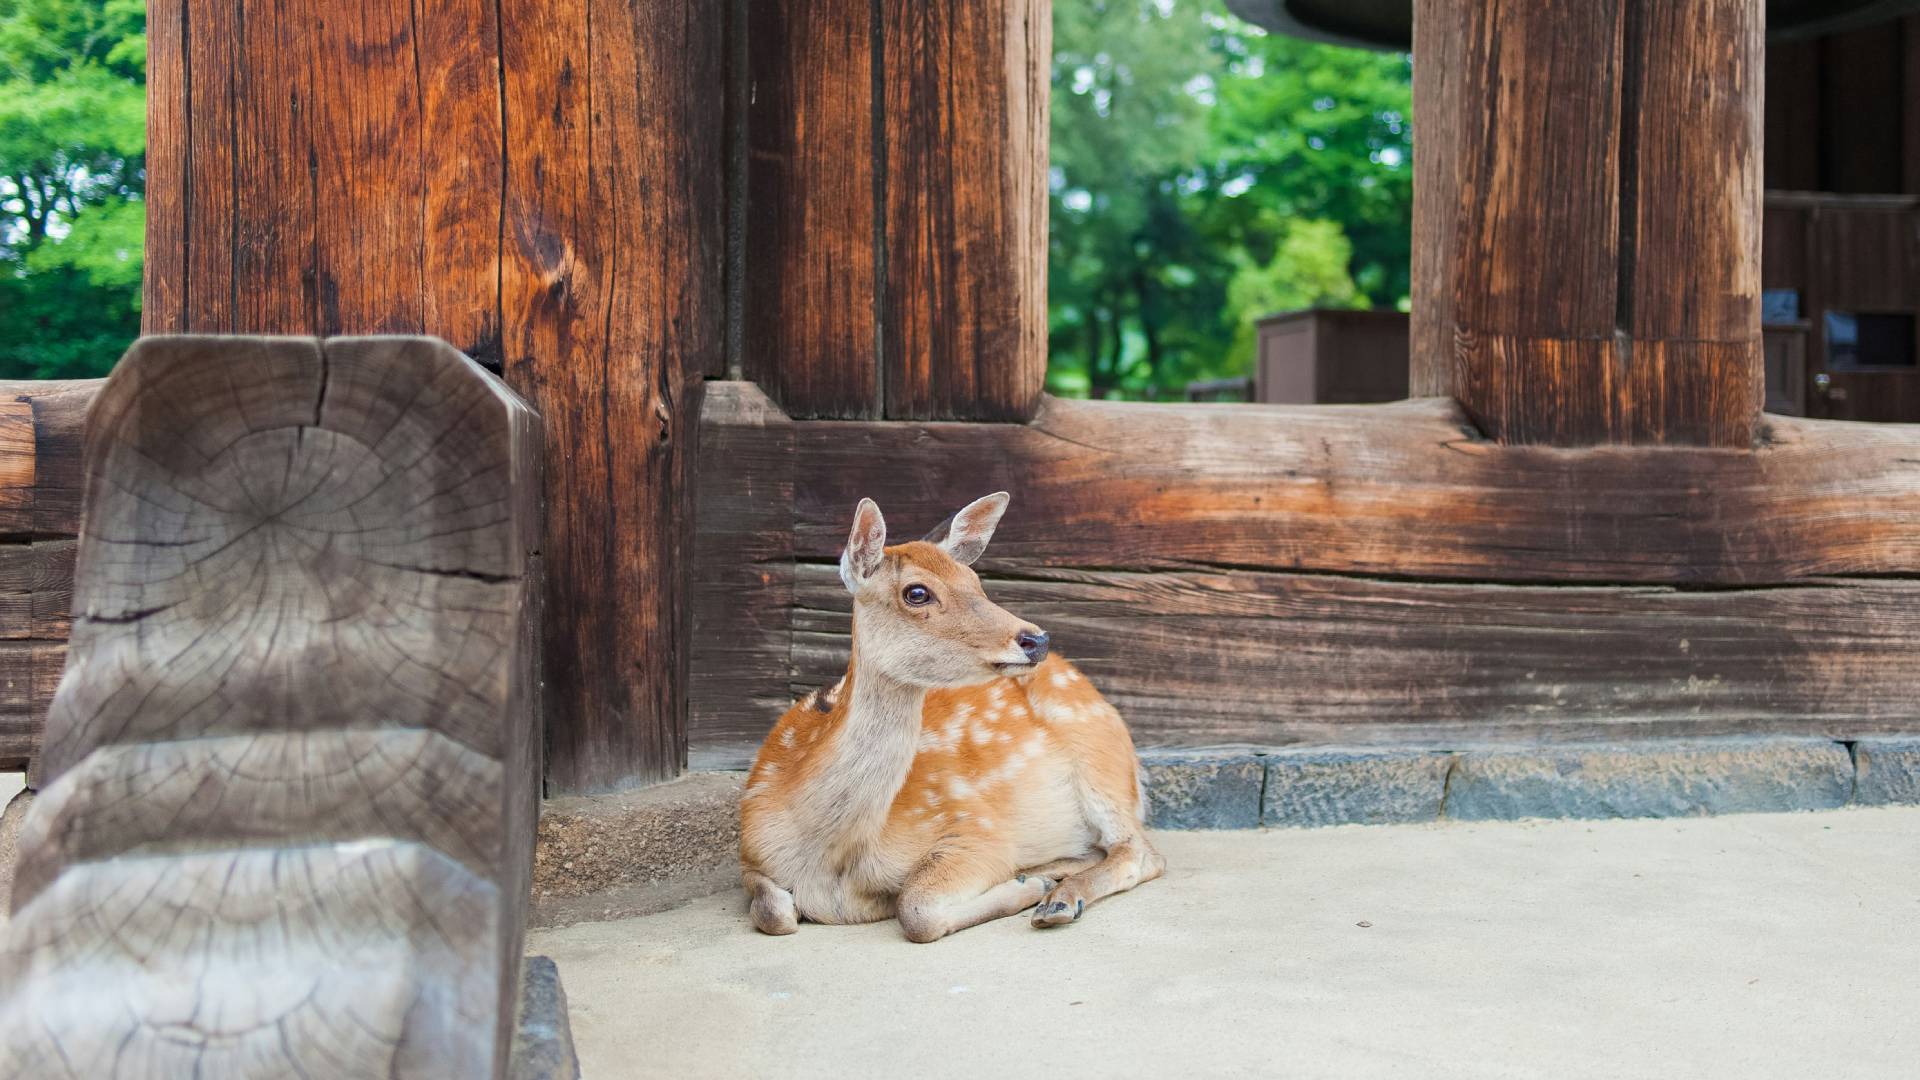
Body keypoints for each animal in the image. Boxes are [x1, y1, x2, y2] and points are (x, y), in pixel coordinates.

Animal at [733, 491, 1159, 937]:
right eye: (917, 593)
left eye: (976, 582)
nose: (1036, 639)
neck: (832, 860)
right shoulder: (751, 851)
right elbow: (773, 913)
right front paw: (1029, 881)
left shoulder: (973, 827)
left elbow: (916, 908)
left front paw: (1026, 887)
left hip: (1099, 758)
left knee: (1139, 851)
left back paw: (1056, 899)